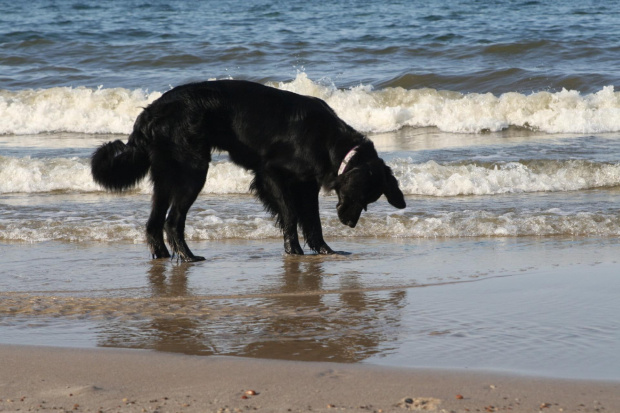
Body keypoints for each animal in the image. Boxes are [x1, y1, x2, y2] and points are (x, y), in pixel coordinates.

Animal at [89, 80, 404, 260]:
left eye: (368, 202)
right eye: (360, 197)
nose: (350, 224)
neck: (328, 141)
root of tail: (150, 112)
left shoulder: (307, 184)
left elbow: (312, 221)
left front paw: (324, 251)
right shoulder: (270, 174)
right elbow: (291, 214)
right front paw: (294, 251)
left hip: (166, 177)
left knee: (154, 223)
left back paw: (163, 255)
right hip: (193, 171)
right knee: (172, 221)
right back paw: (188, 257)